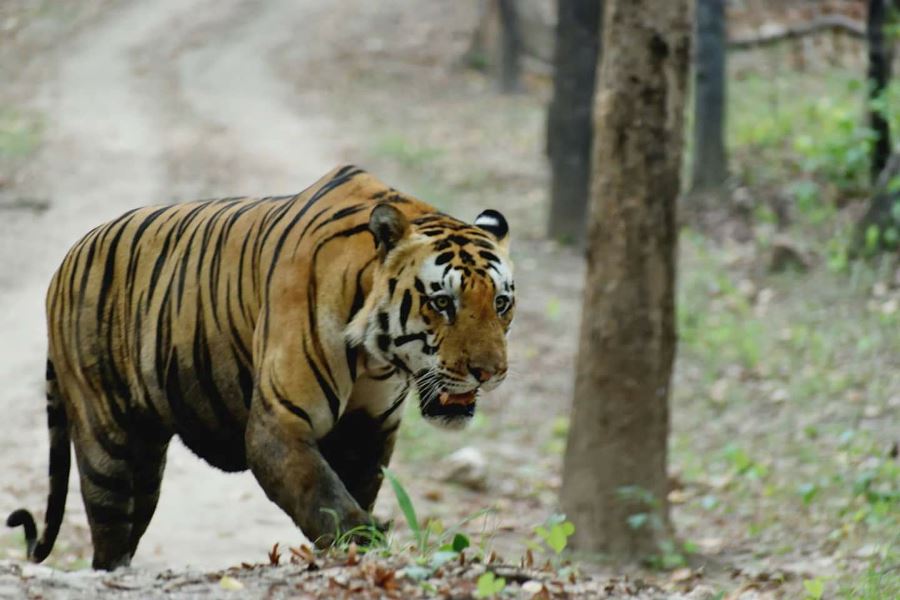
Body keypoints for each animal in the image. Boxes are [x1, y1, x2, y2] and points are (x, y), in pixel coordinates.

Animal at [6, 165, 515, 570]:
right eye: (442, 303)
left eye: (501, 303)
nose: (490, 372)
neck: (374, 356)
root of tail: (68, 258)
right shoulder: (279, 423)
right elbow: (325, 498)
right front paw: (366, 545)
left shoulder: (370, 428)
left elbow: (351, 490)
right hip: (105, 442)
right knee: (108, 531)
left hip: (147, 462)